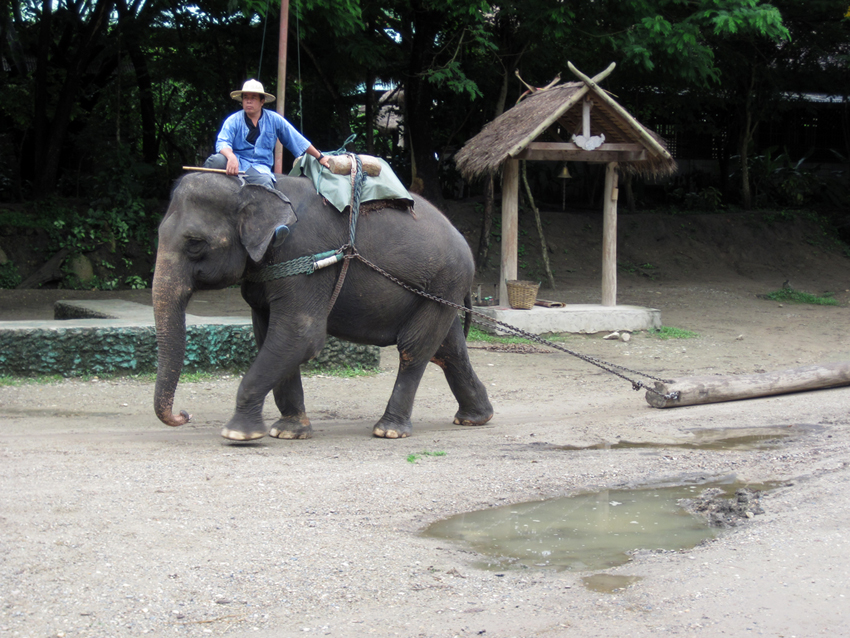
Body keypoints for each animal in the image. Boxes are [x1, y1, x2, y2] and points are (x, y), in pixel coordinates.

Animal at [152, 172, 490, 442]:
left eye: (195, 244)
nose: (184, 415)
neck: (256, 186)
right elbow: (270, 337)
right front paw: (288, 432)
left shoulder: (305, 261)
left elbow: (300, 336)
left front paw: (238, 434)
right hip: (439, 290)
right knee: (448, 349)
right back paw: (476, 418)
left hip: (444, 280)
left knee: (415, 348)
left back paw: (389, 430)